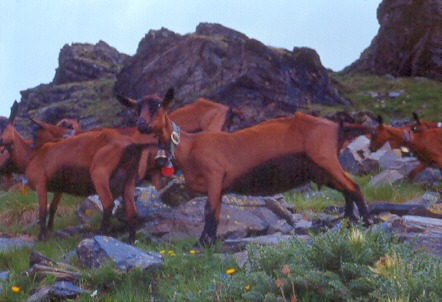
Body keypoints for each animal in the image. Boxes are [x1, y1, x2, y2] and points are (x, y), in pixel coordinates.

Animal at [0, 101, 156, 241]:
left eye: (2, 150)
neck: (31, 155)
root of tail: (130, 145)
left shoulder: (40, 184)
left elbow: (42, 211)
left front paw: (40, 238)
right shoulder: (59, 188)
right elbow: (52, 209)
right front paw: (49, 233)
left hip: (99, 174)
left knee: (108, 203)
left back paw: (99, 234)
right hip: (129, 181)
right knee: (132, 212)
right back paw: (130, 239)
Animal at [119, 88, 372, 248]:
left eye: (158, 105)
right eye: (137, 108)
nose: (141, 124)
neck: (188, 146)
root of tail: (337, 129)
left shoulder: (214, 175)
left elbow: (209, 212)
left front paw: (200, 244)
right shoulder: (219, 187)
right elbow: (216, 214)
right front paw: (209, 242)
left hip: (326, 159)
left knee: (354, 186)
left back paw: (367, 222)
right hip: (321, 170)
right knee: (346, 189)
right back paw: (348, 221)